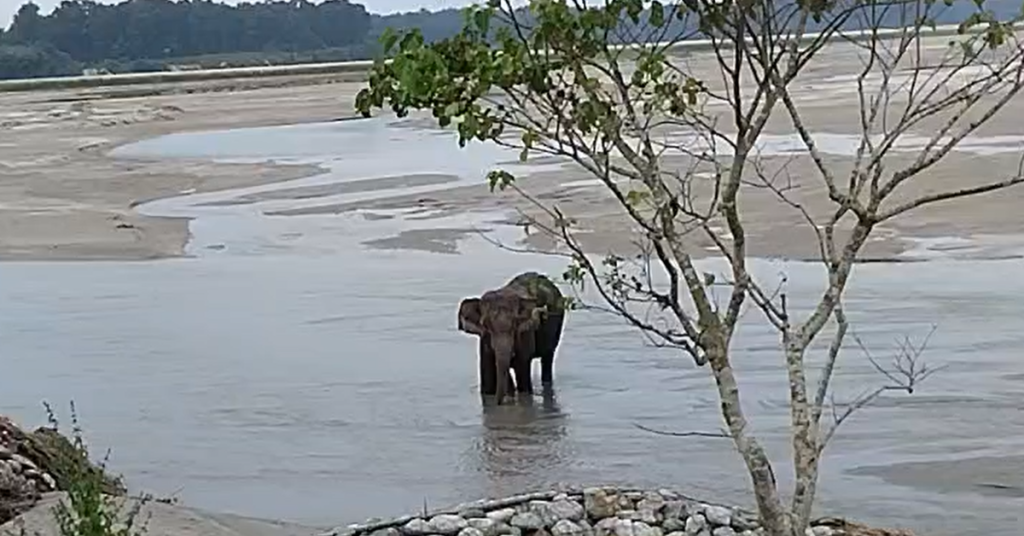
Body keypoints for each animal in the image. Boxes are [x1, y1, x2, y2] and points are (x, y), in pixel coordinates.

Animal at [457, 271, 567, 404]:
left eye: (516, 322)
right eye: (486, 325)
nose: (500, 403)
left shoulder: (525, 334)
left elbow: (523, 377)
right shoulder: (484, 340)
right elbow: (487, 383)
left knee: (547, 358)